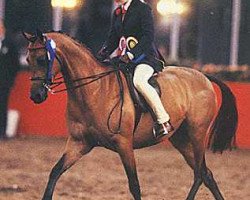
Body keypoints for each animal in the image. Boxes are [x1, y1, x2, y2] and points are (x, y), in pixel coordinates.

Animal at [23, 31, 238, 200]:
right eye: (27, 60)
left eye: (42, 59)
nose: (36, 96)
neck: (95, 90)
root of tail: (203, 76)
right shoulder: (79, 143)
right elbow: (55, 172)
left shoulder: (124, 144)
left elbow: (134, 185)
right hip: (181, 138)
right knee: (206, 174)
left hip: (197, 133)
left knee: (199, 174)